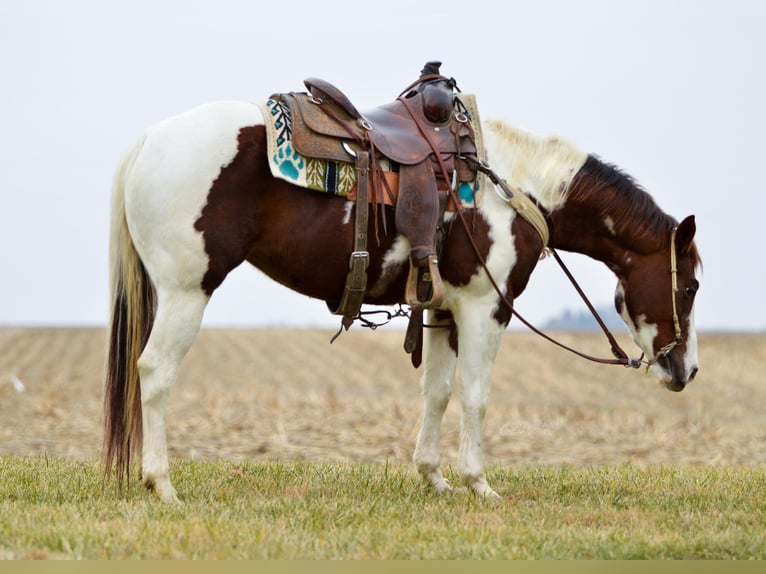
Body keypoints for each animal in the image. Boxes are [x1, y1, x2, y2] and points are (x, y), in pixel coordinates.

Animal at [105, 86, 704, 504]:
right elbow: (475, 395)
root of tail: (147, 141)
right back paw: (162, 484)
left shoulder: (443, 312)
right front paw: (480, 485)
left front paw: (434, 478)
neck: (513, 186)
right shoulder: (487, 308)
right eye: (691, 284)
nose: (688, 371)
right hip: (186, 291)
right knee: (155, 371)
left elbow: (435, 393)